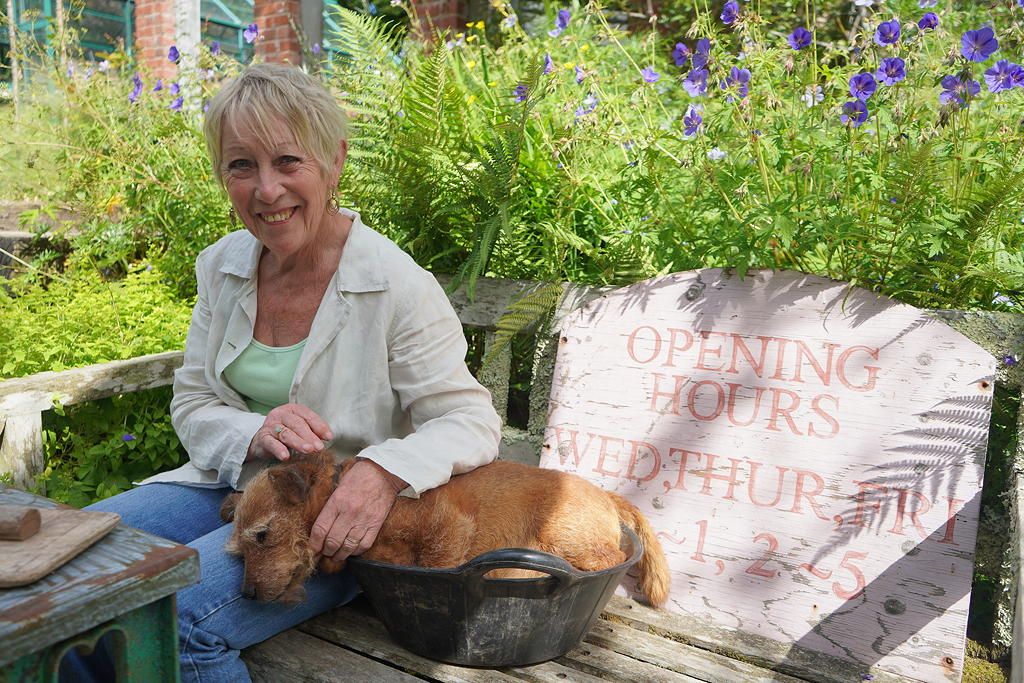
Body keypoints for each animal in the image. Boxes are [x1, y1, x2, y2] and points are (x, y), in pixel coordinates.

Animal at [221, 450, 671, 606]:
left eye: (262, 535)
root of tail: (607, 496)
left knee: (607, 560)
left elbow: (436, 566)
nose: (248, 595)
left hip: (565, 534)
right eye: (239, 552)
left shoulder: (449, 527)